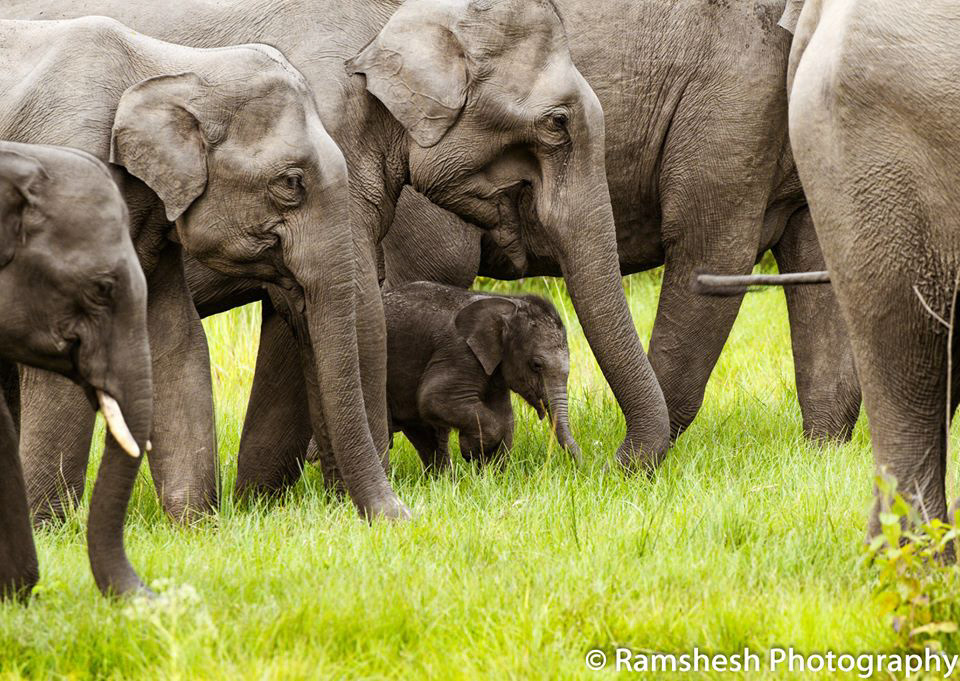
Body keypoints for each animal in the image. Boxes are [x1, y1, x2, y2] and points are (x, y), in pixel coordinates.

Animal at [0, 16, 406, 524]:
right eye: (291, 182)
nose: (404, 516)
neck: (175, 66)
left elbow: (175, 340)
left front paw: (194, 525)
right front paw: (51, 527)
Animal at [378, 0, 862, 446]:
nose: (608, 462)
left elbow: (817, 258)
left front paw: (821, 451)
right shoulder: (740, 96)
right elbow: (712, 251)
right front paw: (640, 467)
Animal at [382, 282, 580, 470]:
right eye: (536, 365)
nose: (580, 467)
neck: (508, 304)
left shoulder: (496, 367)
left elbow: (505, 417)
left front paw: (489, 472)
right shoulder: (459, 352)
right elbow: (433, 398)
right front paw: (471, 451)